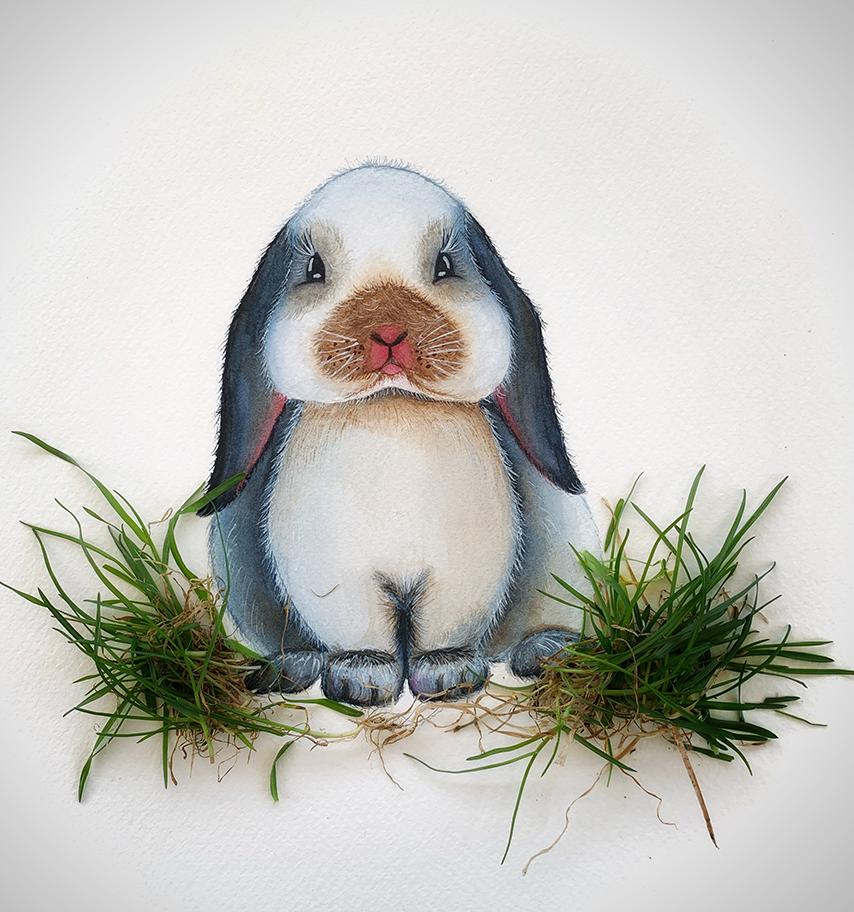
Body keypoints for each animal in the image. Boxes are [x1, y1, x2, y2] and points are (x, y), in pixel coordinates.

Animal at [199, 164, 600, 706]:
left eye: (446, 265)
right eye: (314, 270)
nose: (389, 332)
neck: (391, 412)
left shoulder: (457, 578)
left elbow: (443, 631)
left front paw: (448, 673)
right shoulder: (342, 583)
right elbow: (362, 634)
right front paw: (363, 678)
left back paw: (550, 650)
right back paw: (289, 668)